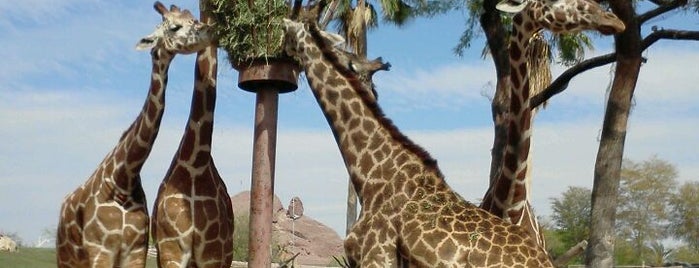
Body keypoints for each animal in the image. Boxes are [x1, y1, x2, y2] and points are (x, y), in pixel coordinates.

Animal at [149, 2, 234, 268]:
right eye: (174, 25)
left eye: (194, 19)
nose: (212, 29)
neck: (196, 163)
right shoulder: (171, 250)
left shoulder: (213, 253)